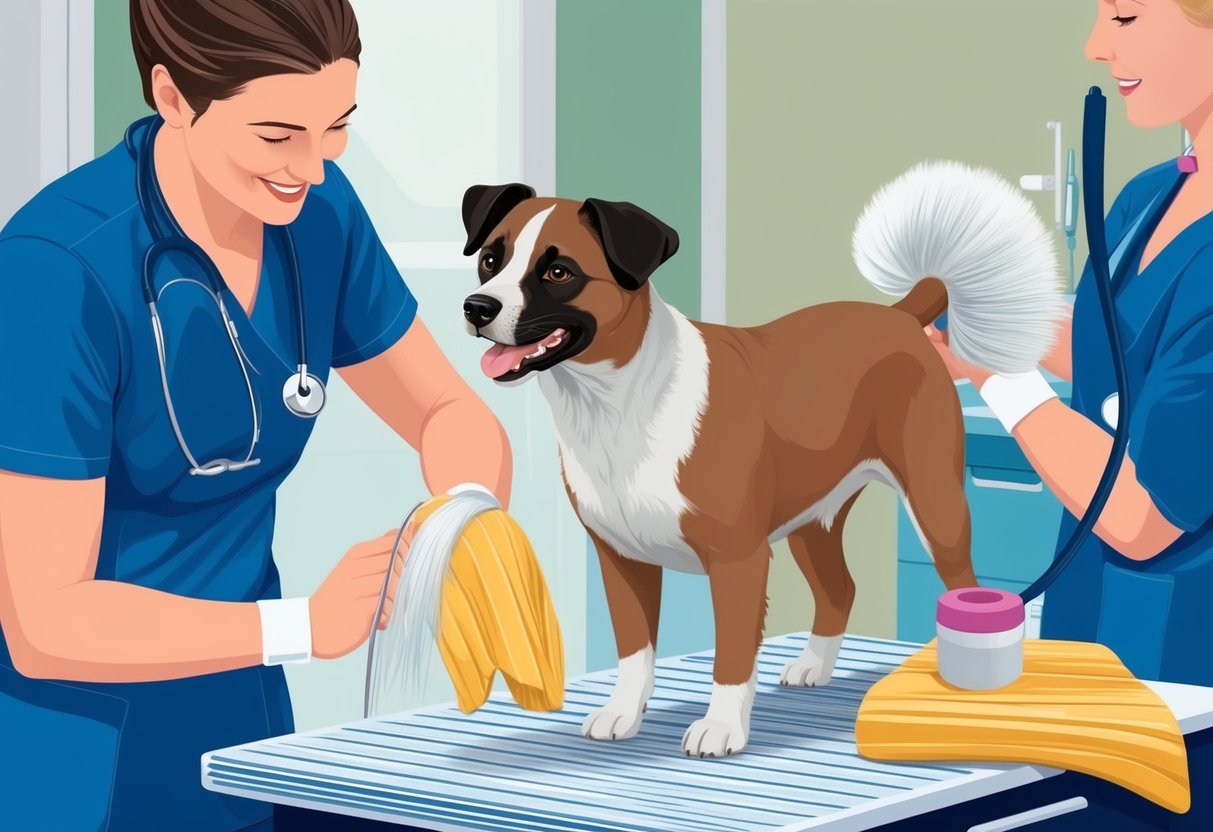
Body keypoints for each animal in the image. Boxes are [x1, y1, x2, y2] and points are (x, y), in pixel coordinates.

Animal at [458, 161, 1067, 756]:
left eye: (560, 273)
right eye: (490, 259)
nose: (477, 306)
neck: (617, 401)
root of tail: (897, 316)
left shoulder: (738, 561)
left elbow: (731, 652)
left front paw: (721, 728)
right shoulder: (621, 560)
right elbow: (634, 650)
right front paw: (622, 714)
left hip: (934, 502)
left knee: (962, 583)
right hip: (814, 521)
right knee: (840, 589)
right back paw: (813, 665)